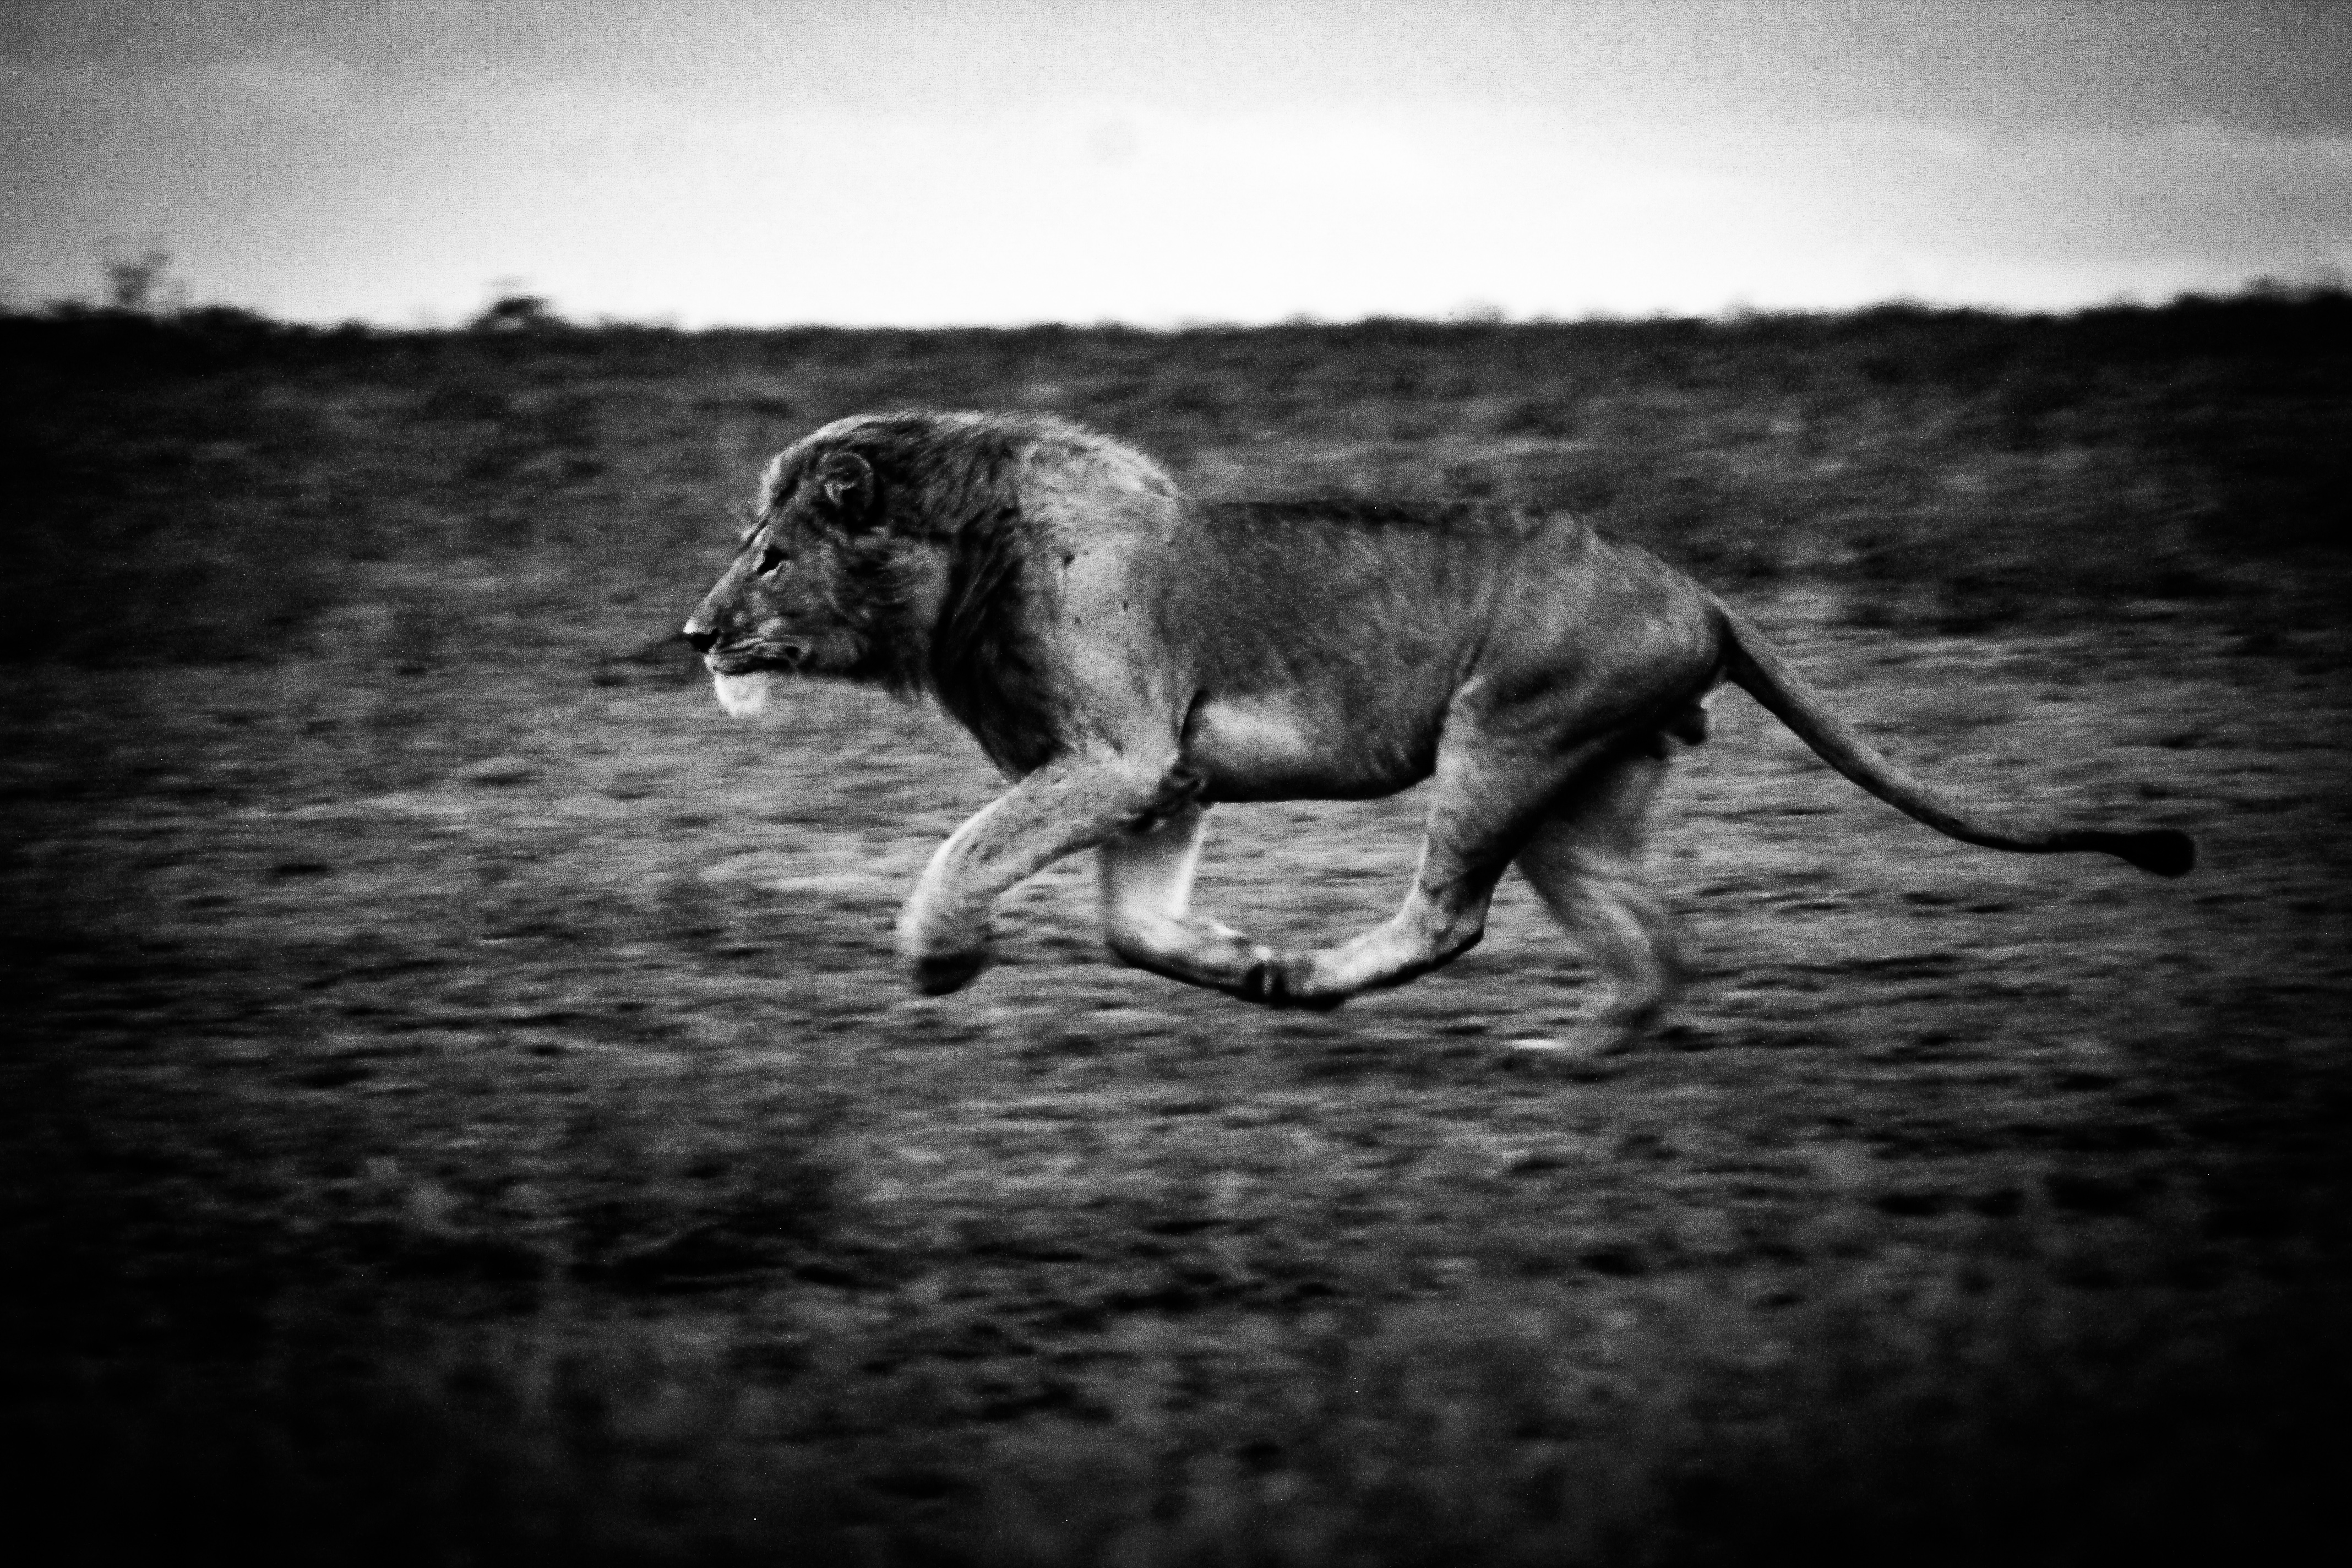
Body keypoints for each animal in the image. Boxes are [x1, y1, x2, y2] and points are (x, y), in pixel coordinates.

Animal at [682, 410, 2194, 1051]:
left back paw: (1328, 979)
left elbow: (966, 849)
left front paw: (941, 957)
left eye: (770, 557)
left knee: (1451, 914)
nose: (695, 633)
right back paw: (1577, 1051)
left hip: (1503, 736)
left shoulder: (1117, 756)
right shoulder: (1164, 782)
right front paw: (1233, 955)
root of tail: (1698, 588)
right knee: (1656, 936)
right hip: (1578, 788)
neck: (955, 572)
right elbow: (1134, 925)